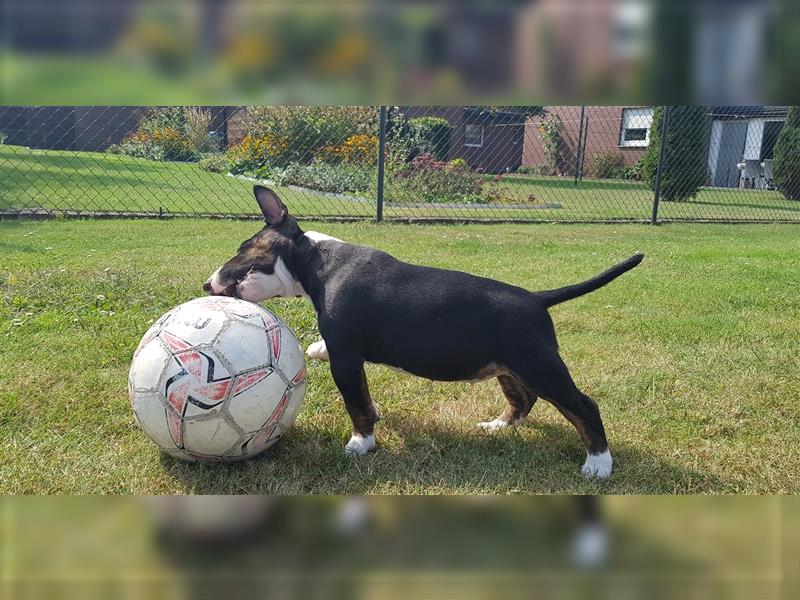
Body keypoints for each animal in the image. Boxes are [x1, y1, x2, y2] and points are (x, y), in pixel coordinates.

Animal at [206, 188, 644, 478]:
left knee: (584, 405)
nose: (208, 285)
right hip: (509, 367)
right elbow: (363, 394)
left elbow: (355, 403)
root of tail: (537, 299)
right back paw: (498, 426)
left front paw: (360, 444)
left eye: (244, 246)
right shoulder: (353, 359)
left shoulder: (347, 357)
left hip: (540, 366)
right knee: (524, 398)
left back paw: (598, 464)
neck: (318, 263)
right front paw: (318, 351)